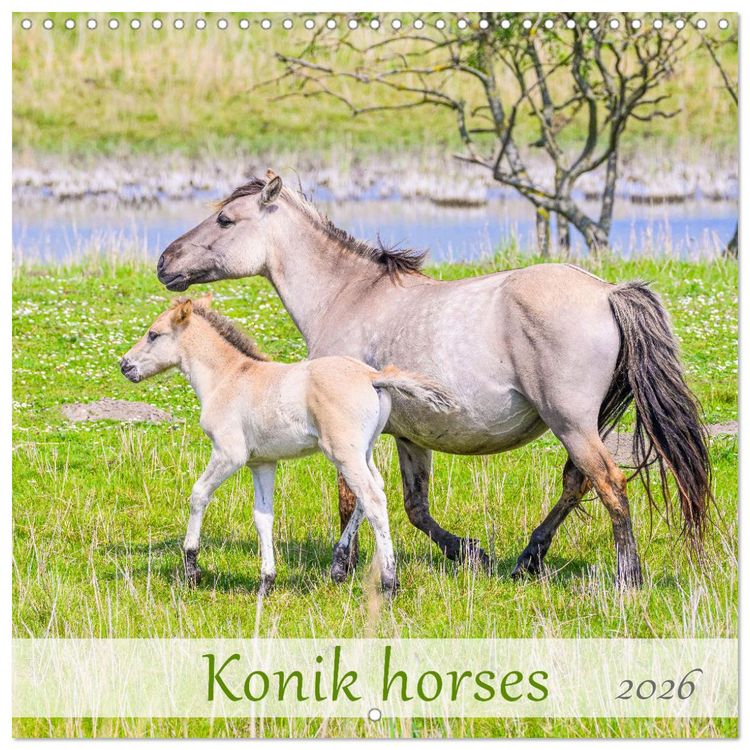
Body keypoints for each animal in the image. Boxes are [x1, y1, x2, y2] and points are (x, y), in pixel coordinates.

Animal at [120, 294, 453, 594]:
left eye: (153, 334)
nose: (125, 365)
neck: (227, 378)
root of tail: (373, 376)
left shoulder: (229, 454)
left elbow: (198, 494)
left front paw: (192, 569)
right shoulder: (262, 463)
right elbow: (263, 517)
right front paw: (266, 581)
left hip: (344, 453)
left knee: (373, 500)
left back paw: (389, 582)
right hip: (364, 452)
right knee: (372, 492)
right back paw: (339, 567)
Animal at [156, 171, 712, 588]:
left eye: (225, 219)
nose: (164, 262)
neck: (349, 295)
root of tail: (606, 292)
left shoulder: (346, 431)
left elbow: (352, 499)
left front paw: (345, 568)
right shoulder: (407, 436)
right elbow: (412, 507)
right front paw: (469, 554)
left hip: (571, 423)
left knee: (610, 484)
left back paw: (627, 579)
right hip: (582, 425)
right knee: (576, 484)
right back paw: (526, 560)